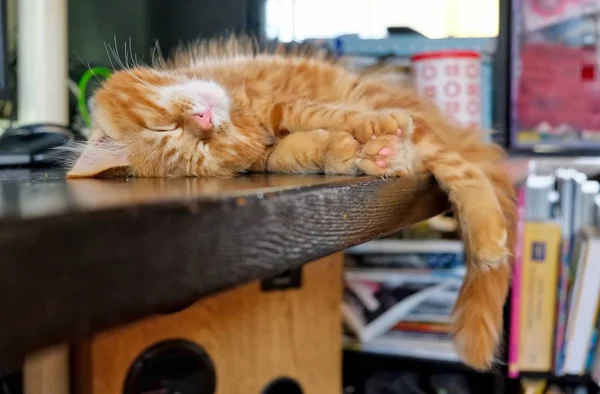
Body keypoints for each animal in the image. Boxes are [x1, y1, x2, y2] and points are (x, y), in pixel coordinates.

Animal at [67, 35, 516, 370]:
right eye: (196, 145)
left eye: (164, 128)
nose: (205, 123)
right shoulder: (268, 152)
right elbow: (299, 150)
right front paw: (343, 151)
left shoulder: (276, 103)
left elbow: (327, 114)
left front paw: (365, 127)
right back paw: (382, 156)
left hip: (412, 120)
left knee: (459, 165)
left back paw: (486, 234)